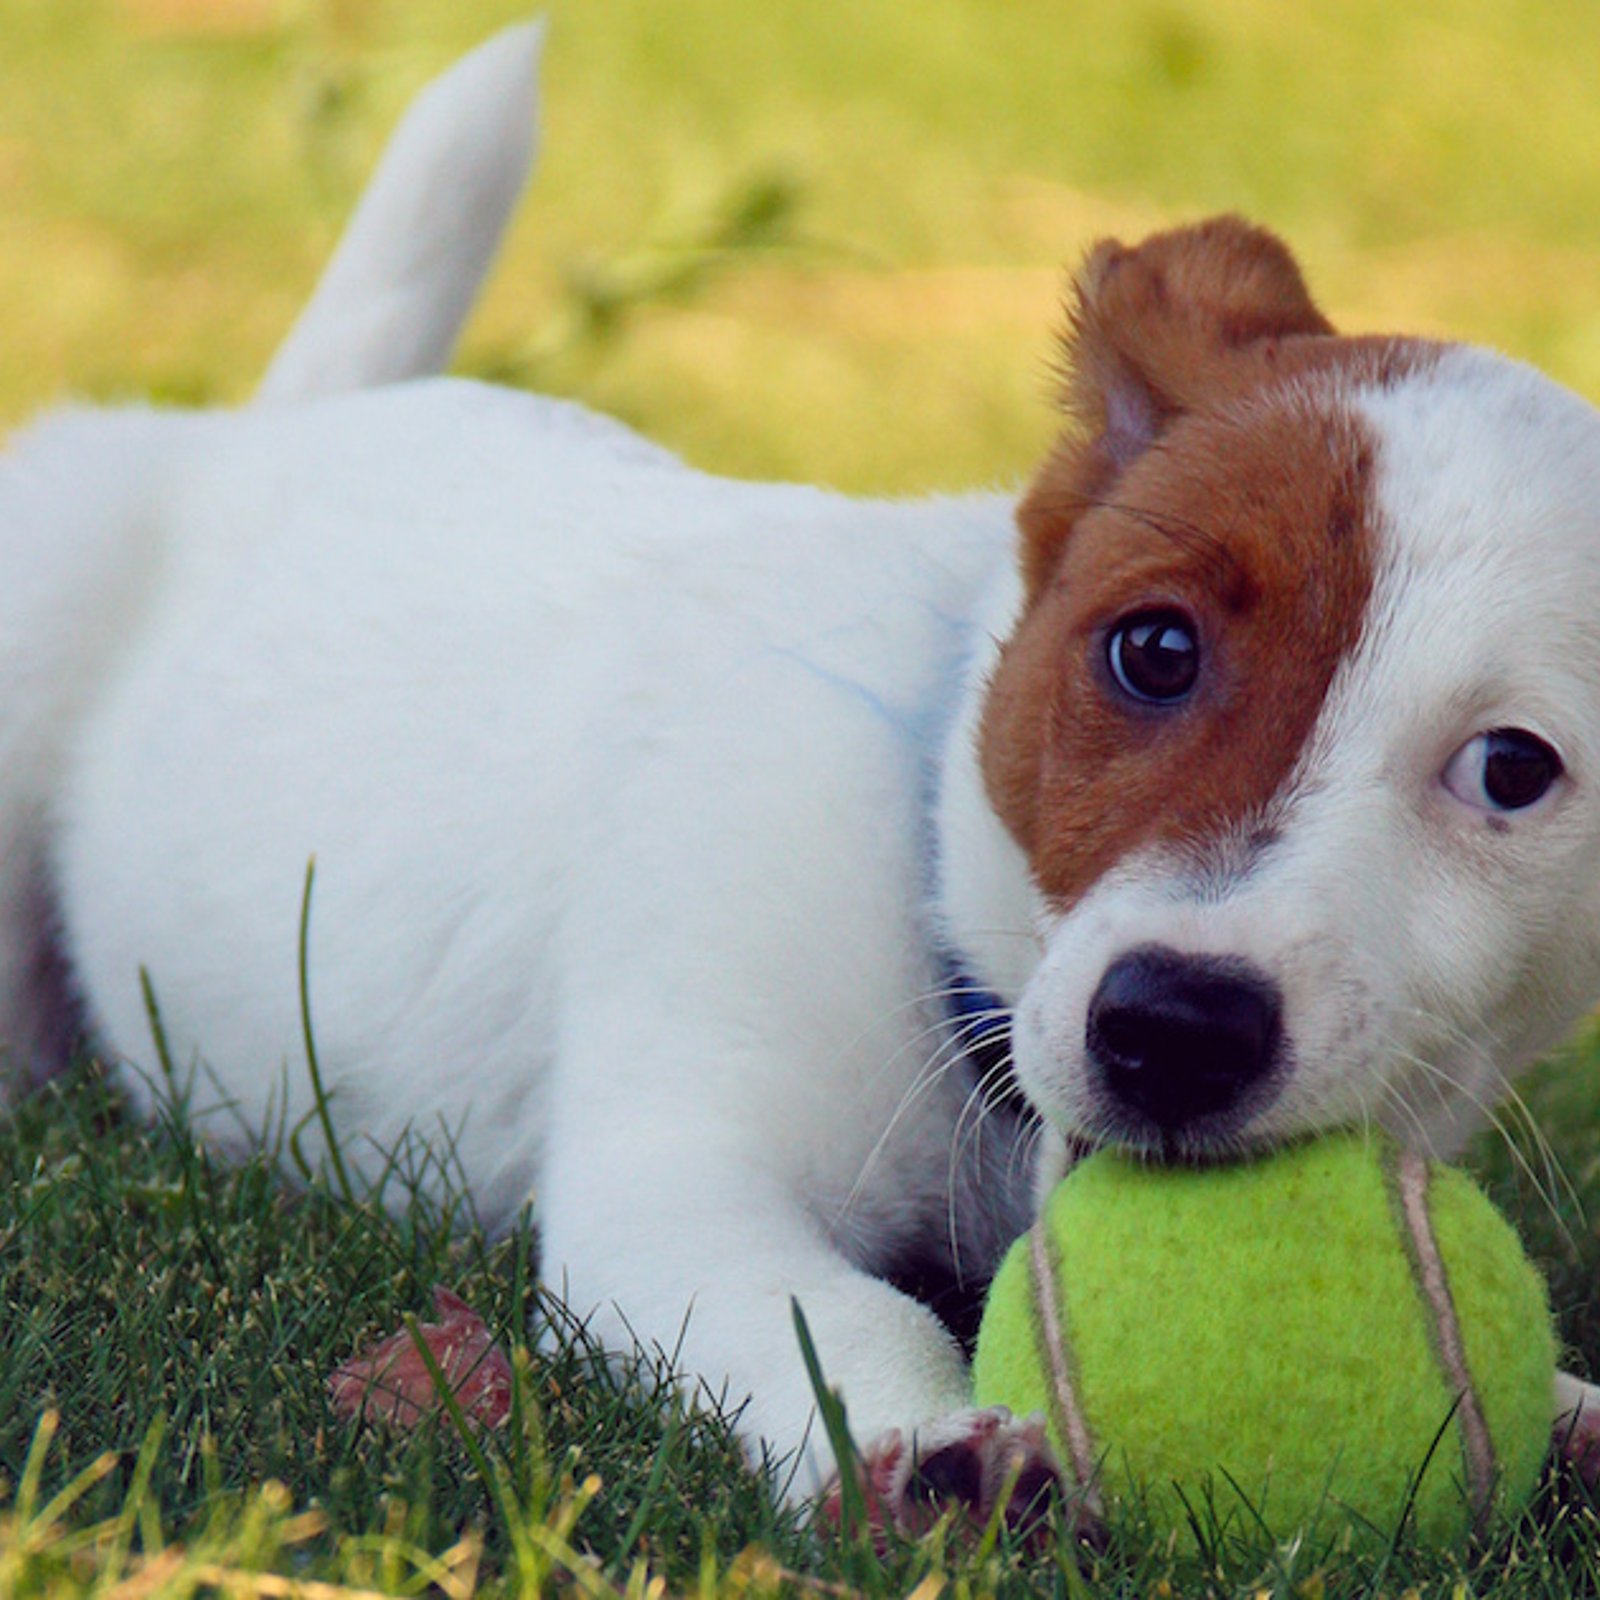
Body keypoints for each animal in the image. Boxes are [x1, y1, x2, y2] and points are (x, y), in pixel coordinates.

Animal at [3, 21, 1600, 1523]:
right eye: (1153, 649)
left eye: (1512, 768)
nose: (1174, 1029)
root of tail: (270, 429)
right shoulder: (681, 1177)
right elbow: (844, 1313)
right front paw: (924, 1448)